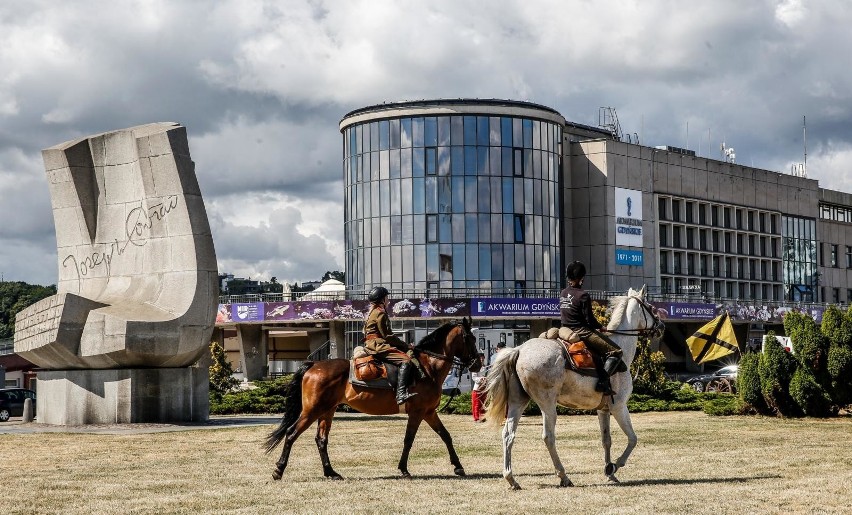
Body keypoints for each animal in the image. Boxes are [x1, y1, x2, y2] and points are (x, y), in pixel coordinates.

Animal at [262, 316, 482, 482]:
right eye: (470, 338)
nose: (478, 364)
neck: (428, 367)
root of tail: (314, 365)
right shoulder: (418, 412)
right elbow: (409, 439)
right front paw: (403, 469)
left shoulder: (429, 412)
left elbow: (445, 436)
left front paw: (458, 466)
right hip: (312, 410)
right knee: (291, 434)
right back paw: (279, 470)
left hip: (327, 410)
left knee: (321, 439)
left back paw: (330, 472)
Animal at [482, 286, 664, 492]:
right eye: (651, 307)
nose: (661, 327)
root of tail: (519, 349)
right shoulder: (619, 407)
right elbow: (633, 438)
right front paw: (615, 465)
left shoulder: (603, 410)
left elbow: (606, 440)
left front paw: (609, 473)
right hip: (547, 404)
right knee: (548, 437)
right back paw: (564, 476)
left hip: (517, 401)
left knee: (508, 434)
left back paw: (511, 478)